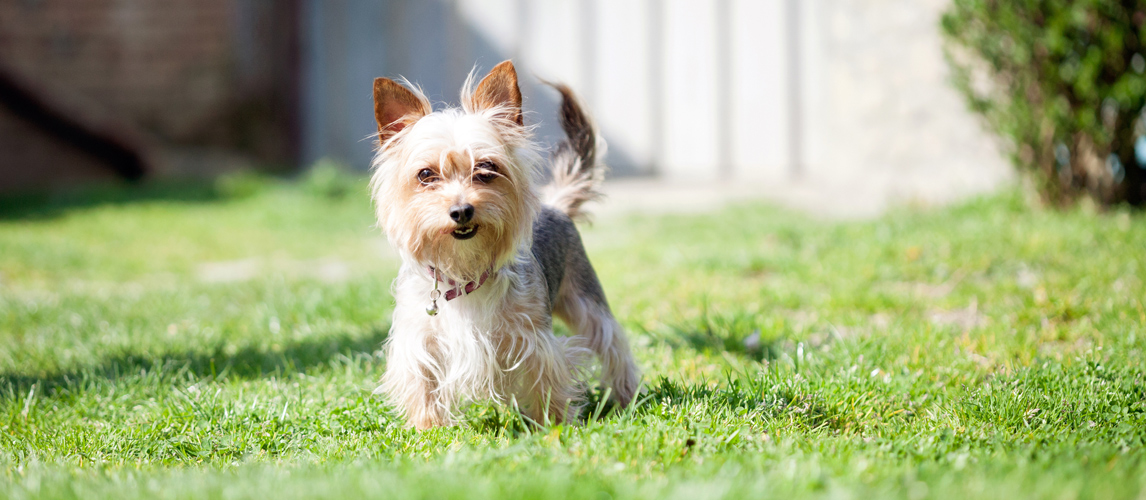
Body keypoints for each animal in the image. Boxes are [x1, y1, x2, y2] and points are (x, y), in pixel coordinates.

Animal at [366, 60, 637, 426]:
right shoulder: (420, 339)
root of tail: (555, 204)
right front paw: (428, 428)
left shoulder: (534, 338)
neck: (464, 272)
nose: (461, 210)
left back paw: (628, 397)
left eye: (486, 168)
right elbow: (423, 385)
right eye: (425, 175)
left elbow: (547, 377)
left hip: (584, 298)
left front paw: (554, 425)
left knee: (612, 342)